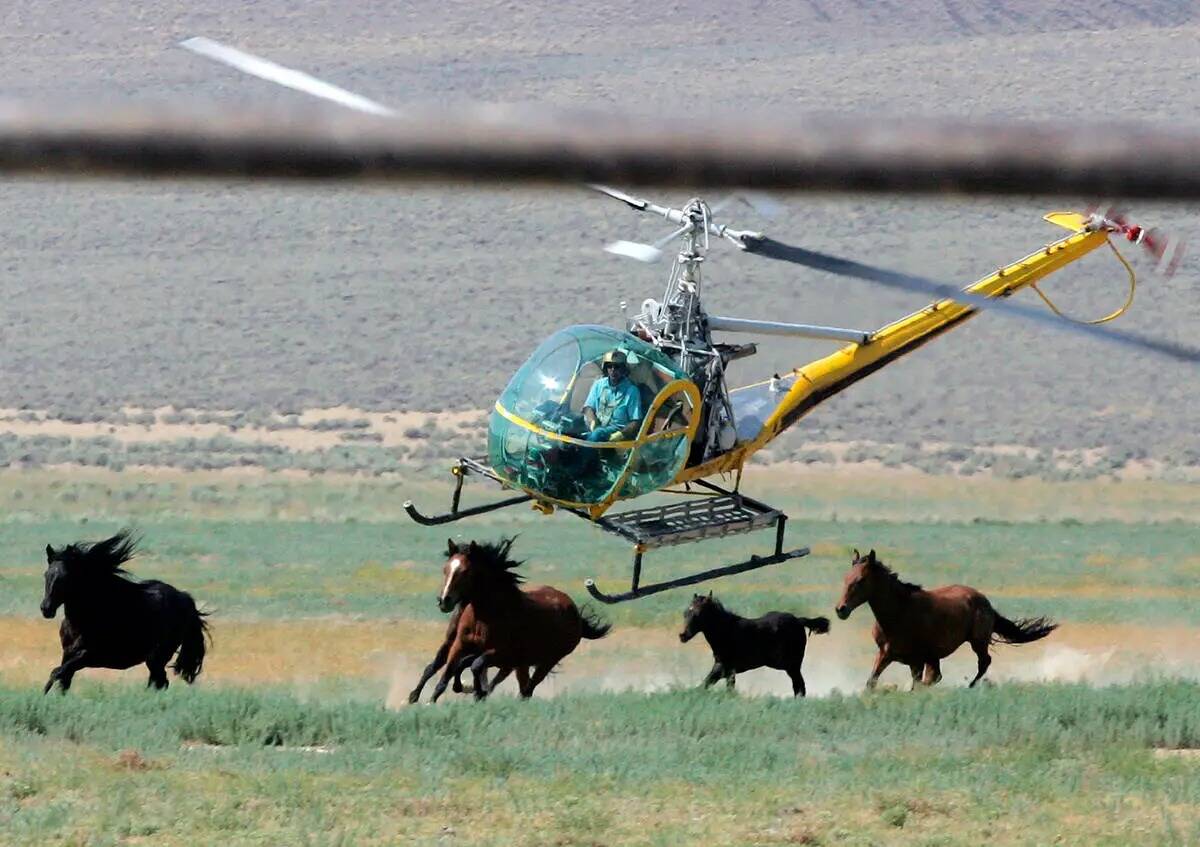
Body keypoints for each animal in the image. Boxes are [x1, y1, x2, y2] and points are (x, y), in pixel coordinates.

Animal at [39, 527, 208, 691]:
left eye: (66, 577)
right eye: (46, 574)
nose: (46, 608)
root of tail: (184, 597)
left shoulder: (87, 656)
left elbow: (55, 673)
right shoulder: (68, 654)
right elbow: (62, 682)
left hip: (157, 657)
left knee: (160, 682)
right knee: (158, 682)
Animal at [429, 535, 609, 700]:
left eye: (466, 571)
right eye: (445, 569)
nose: (444, 601)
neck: (484, 616)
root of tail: (574, 612)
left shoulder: (500, 653)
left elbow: (475, 665)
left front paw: (476, 691)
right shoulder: (459, 645)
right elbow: (448, 675)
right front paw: (433, 700)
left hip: (546, 661)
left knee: (527, 690)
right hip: (521, 664)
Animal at [681, 590, 830, 695]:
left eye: (698, 614)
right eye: (686, 612)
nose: (682, 635)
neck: (727, 631)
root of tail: (798, 620)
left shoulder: (724, 667)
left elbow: (706, 684)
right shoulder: (728, 671)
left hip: (792, 665)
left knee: (799, 687)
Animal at [835, 547, 1060, 686]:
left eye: (860, 580)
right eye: (846, 578)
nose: (841, 609)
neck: (899, 614)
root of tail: (984, 600)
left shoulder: (920, 659)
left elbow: (922, 683)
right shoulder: (887, 654)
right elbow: (871, 682)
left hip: (977, 641)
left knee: (983, 662)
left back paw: (969, 686)